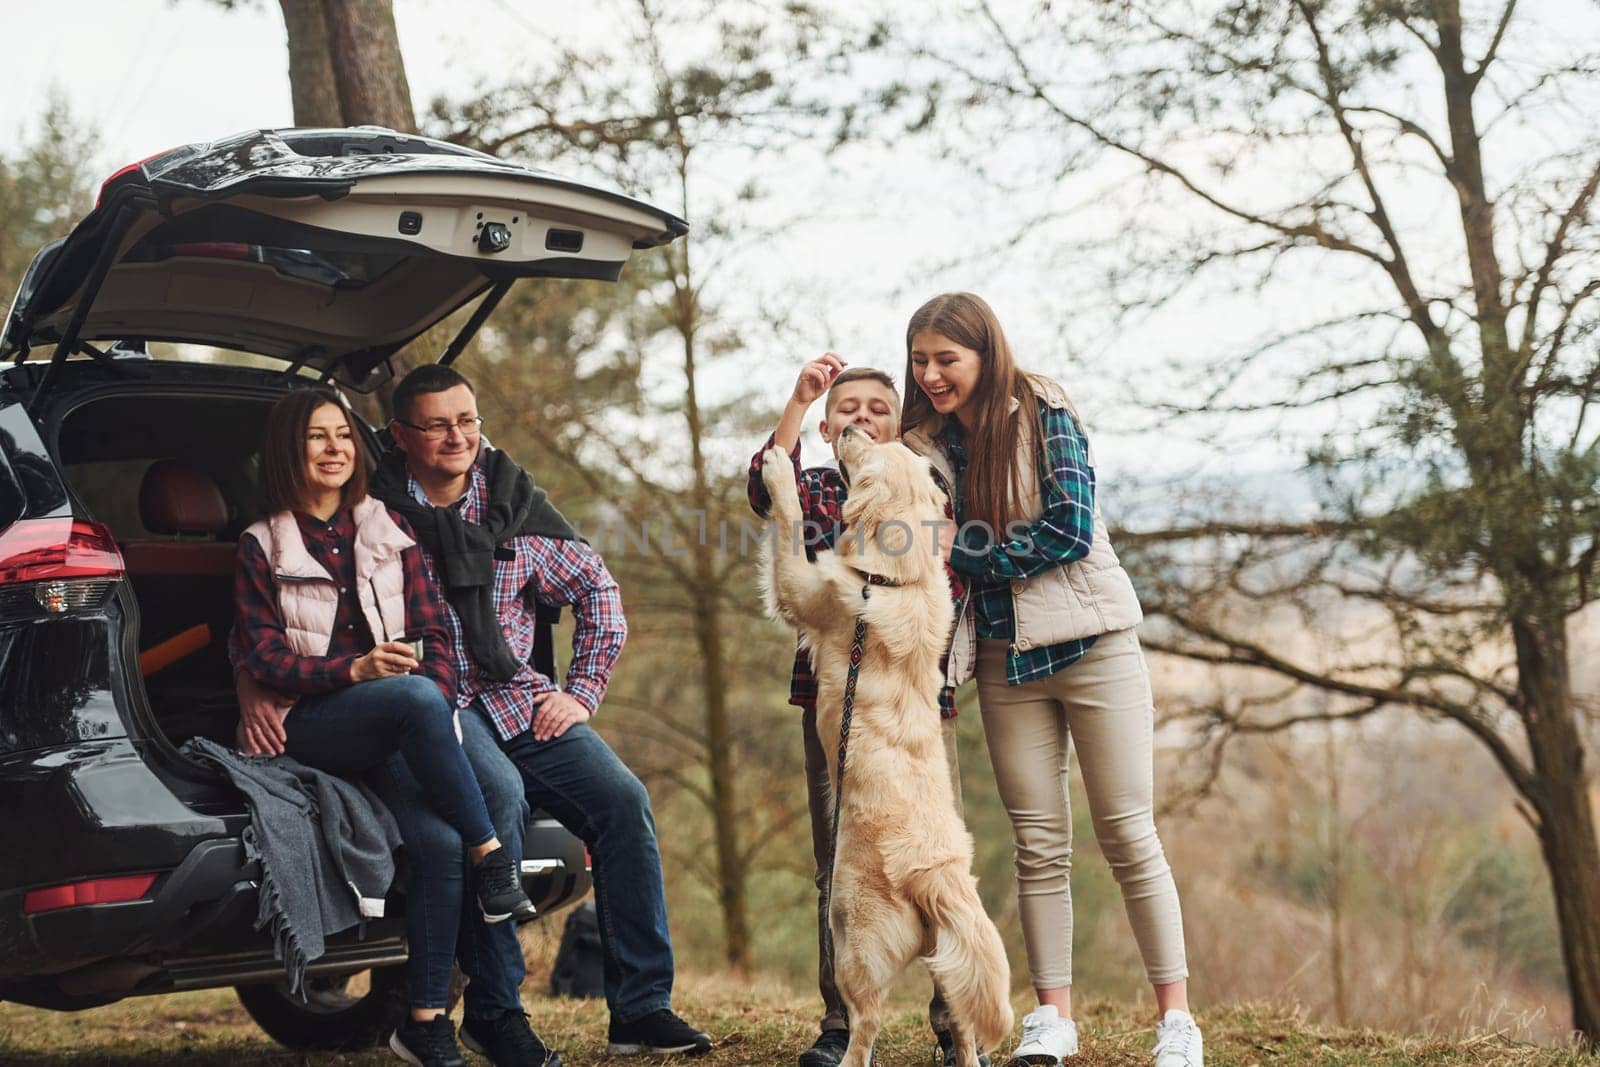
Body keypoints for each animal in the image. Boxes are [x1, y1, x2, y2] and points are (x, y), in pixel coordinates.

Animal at [761, 425, 1011, 1067]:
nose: (849, 428)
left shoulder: (807, 588)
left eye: (867, 449)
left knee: (866, 1020)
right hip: (947, 960)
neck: (897, 577)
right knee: (963, 1025)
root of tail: (935, 876)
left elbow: (789, 528)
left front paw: (777, 468)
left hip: (851, 933)